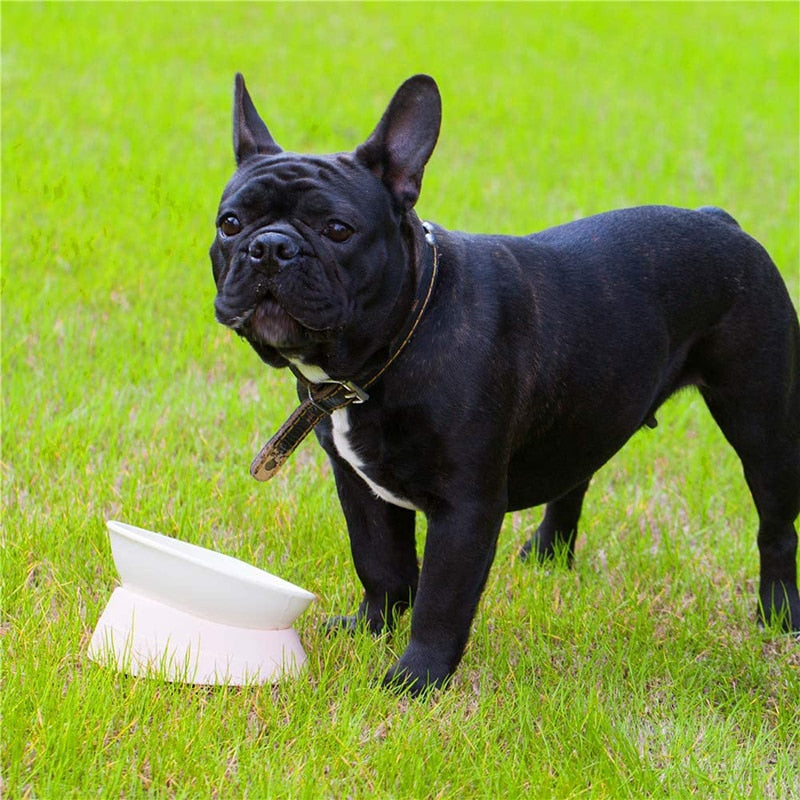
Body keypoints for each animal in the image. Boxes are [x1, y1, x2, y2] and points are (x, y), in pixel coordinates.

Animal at [212, 73, 800, 692]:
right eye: (230, 223)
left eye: (338, 230)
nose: (270, 247)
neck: (397, 340)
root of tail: (720, 220)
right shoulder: (359, 485)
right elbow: (380, 564)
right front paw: (372, 627)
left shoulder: (465, 508)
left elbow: (441, 600)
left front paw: (415, 679)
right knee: (575, 476)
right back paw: (547, 554)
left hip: (761, 421)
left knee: (776, 524)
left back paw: (779, 613)